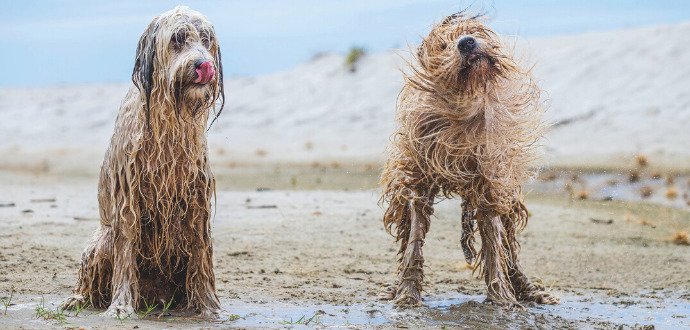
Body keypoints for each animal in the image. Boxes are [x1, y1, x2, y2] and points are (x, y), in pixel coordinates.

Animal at [62, 6, 224, 318]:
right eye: (178, 38)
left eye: (206, 39)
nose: (204, 65)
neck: (169, 124)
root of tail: (154, 297)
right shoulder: (128, 200)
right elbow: (126, 256)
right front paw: (121, 307)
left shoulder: (196, 200)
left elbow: (201, 256)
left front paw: (209, 306)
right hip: (102, 241)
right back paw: (77, 299)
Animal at [378, 12, 556, 306]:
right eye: (442, 45)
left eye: (473, 31)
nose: (466, 42)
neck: (465, 104)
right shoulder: (419, 179)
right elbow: (414, 240)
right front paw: (407, 291)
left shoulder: (490, 182)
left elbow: (494, 243)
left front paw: (501, 297)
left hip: (508, 197)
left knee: (510, 246)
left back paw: (527, 289)